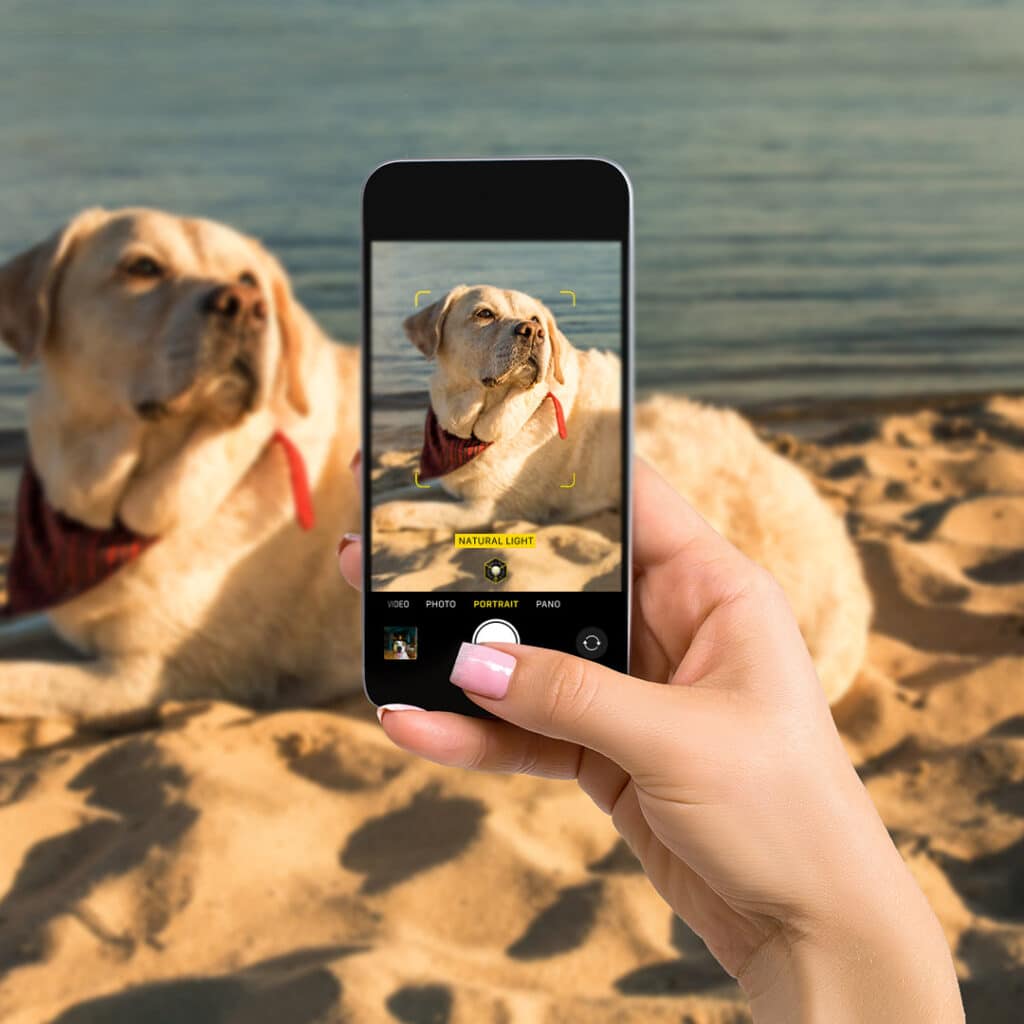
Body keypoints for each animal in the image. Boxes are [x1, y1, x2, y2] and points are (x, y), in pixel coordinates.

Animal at [372, 282, 868, 704]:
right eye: (483, 313)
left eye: (534, 318)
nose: (532, 331)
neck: (475, 427)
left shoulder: (486, 509)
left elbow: (401, 509)